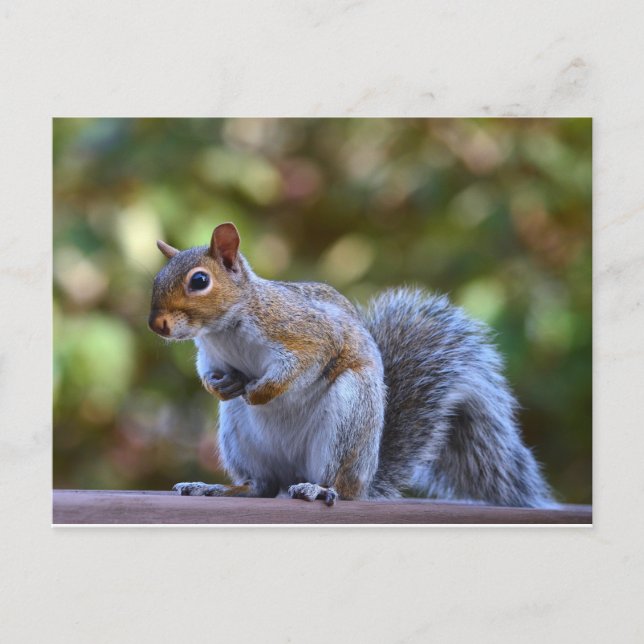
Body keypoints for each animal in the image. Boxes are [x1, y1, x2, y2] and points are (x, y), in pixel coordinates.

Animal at [149, 222, 553, 507]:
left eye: (200, 281)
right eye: (156, 279)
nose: (157, 325)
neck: (224, 329)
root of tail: (366, 479)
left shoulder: (307, 333)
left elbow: (303, 364)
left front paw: (261, 391)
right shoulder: (211, 355)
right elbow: (208, 374)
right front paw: (220, 387)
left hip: (349, 415)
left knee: (338, 485)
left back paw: (318, 489)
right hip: (239, 435)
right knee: (262, 485)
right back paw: (218, 488)